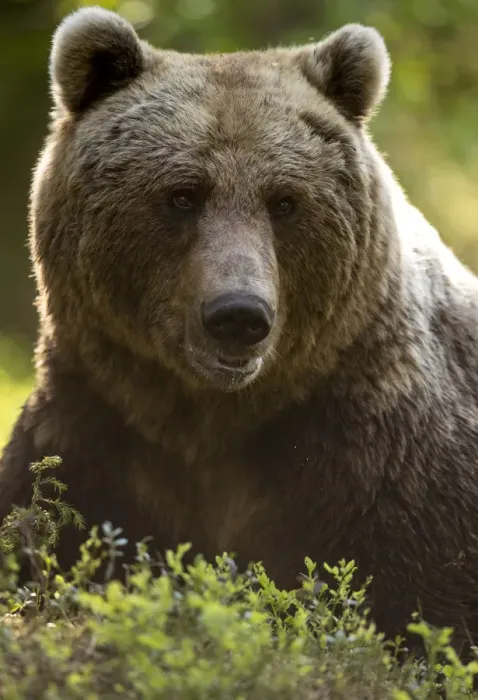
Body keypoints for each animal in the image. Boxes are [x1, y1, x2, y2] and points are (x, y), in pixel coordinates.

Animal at [2, 6, 478, 655]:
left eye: (285, 201)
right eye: (182, 195)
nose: (238, 315)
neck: (213, 420)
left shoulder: (384, 462)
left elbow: (418, 606)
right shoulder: (95, 432)